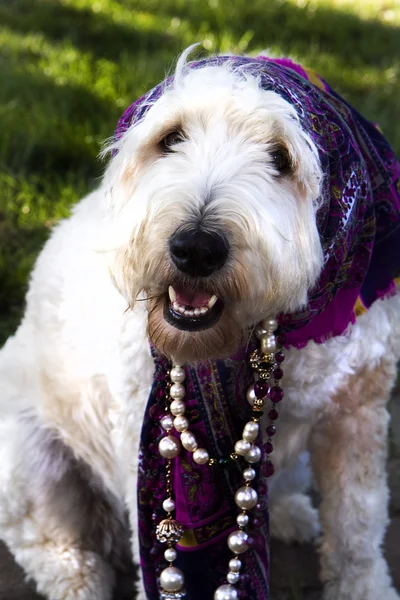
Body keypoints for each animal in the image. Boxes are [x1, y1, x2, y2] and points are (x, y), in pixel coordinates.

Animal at [0, 50, 400, 600]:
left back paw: (290, 511)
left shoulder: (358, 412)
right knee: (44, 539)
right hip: (29, 456)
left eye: (281, 158)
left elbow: (359, 527)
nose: (196, 248)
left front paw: (365, 586)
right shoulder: (137, 439)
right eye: (171, 138)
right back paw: (77, 578)